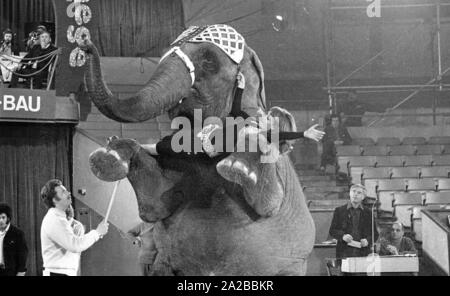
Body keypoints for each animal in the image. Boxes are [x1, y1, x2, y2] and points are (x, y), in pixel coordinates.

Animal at [81, 24, 314, 276]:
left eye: (209, 61)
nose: (85, 44)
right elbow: (154, 207)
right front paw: (108, 157)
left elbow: (268, 203)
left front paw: (237, 167)